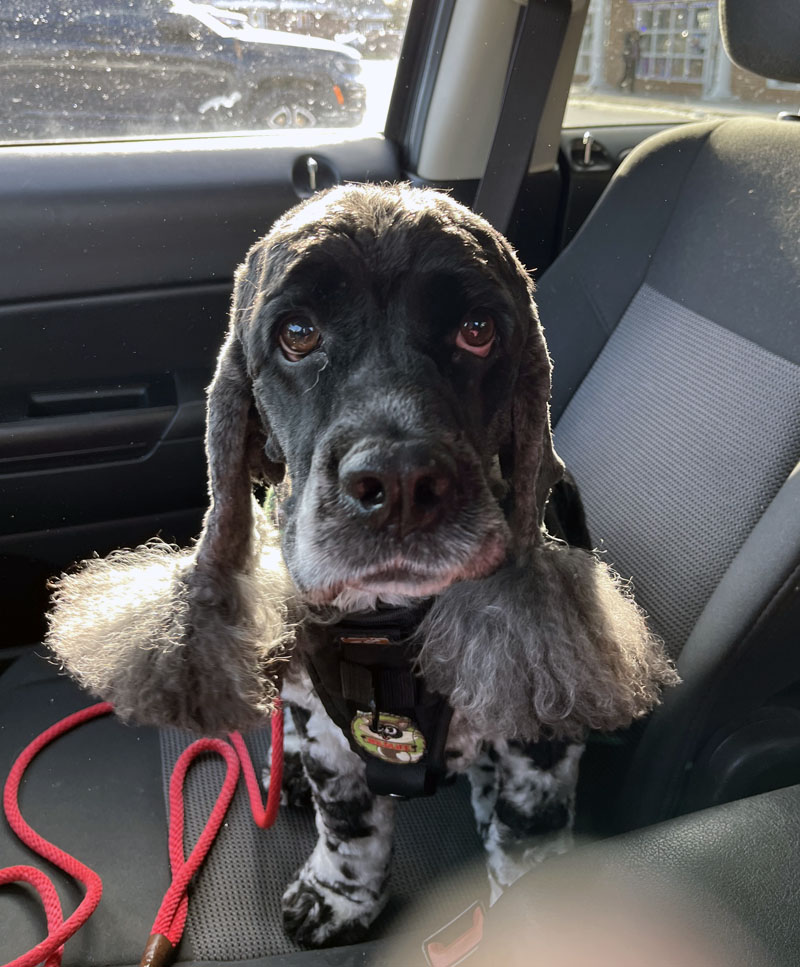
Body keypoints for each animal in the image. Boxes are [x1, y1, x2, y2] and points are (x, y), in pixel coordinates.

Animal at [47, 182, 680, 944]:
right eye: (296, 333)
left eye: (478, 329)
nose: (401, 483)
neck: (387, 626)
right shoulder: (329, 733)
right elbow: (348, 826)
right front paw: (339, 899)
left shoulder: (540, 738)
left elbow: (528, 845)